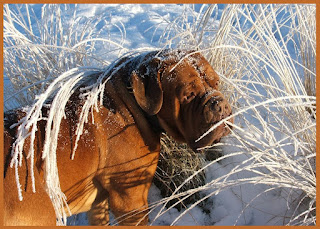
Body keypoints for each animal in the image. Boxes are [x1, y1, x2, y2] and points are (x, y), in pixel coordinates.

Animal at [3, 50, 232, 225]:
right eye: (188, 95)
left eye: (217, 84)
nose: (220, 105)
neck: (133, 103)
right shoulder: (131, 201)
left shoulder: (99, 204)